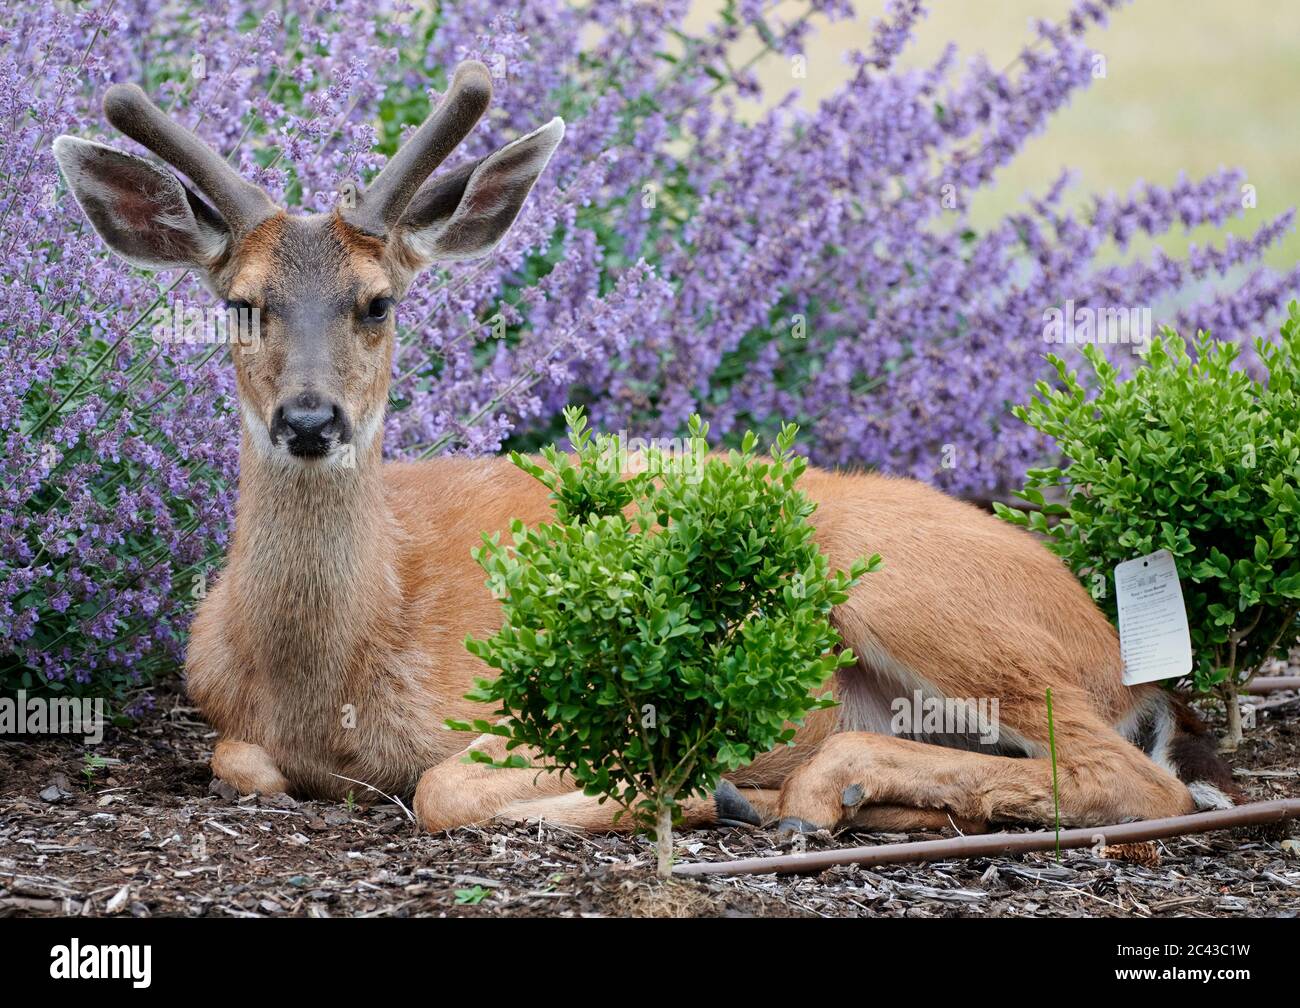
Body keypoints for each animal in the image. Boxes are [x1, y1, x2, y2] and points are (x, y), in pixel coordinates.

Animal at [50, 59, 1237, 837]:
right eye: (242, 303)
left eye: (378, 302)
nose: (308, 422)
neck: (338, 669)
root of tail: (1108, 636)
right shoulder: (232, 721)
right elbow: (238, 763)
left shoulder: (556, 695)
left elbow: (442, 788)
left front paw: (679, 785)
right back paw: (828, 792)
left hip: (924, 596)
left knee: (1137, 780)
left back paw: (796, 789)